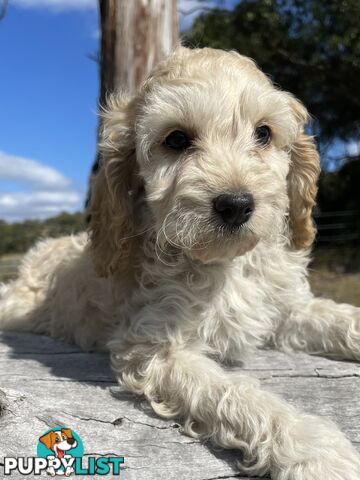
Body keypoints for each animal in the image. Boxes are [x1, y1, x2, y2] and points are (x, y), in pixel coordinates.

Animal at [0, 46, 360, 480]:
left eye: (263, 133)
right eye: (176, 139)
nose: (236, 205)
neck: (227, 264)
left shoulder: (286, 310)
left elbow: (339, 318)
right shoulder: (153, 348)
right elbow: (235, 392)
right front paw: (314, 449)